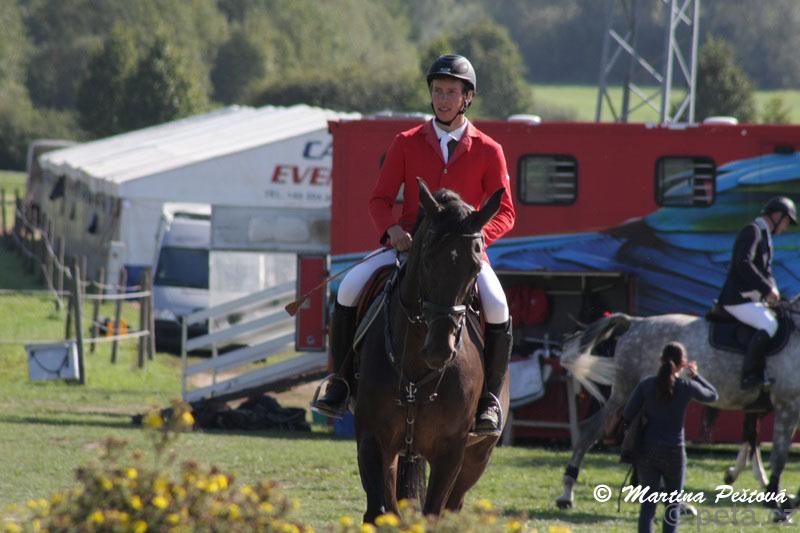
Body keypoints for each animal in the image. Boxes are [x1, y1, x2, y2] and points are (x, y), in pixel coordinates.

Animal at [351, 179, 509, 522]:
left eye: (475, 267)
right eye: (426, 262)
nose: (439, 350)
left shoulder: (452, 448)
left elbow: (434, 514)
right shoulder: (372, 439)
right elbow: (380, 511)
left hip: (477, 456)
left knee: (454, 504)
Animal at [554, 303, 800, 510]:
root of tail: (636, 323)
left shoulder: (763, 407)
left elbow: (753, 439)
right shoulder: (787, 404)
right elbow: (778, 454)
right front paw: (775, 497)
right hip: (625, 392)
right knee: (592, 430)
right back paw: (567, 492)